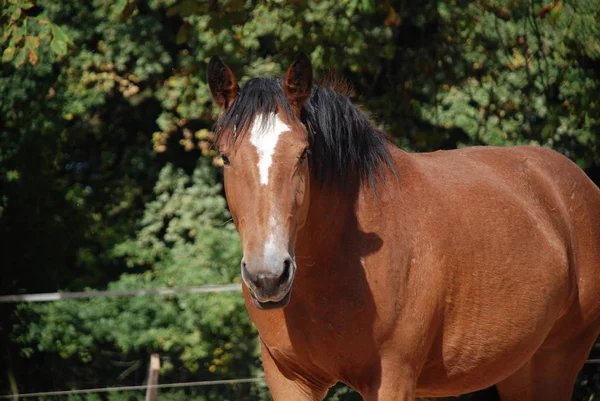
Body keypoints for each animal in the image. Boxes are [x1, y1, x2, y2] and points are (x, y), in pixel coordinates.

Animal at [206, 54, 600, 400]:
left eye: (303, 153)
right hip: (520, 369)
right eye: (225, 157)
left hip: (555, 361)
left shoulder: (391, 379)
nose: (268, 276)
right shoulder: (290, 380)